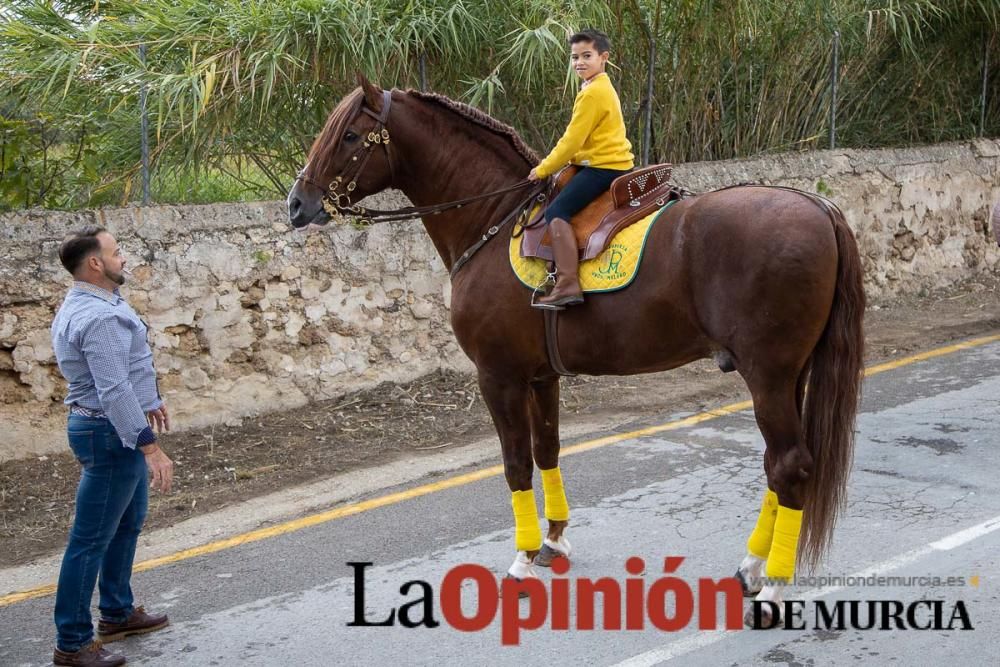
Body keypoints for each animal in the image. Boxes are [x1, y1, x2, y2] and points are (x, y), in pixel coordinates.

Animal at [290, 75, 868, 628]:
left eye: (348, 136)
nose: (297, 203)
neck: (495, 217)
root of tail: (817, 206)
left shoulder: (498, 376)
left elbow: (516, 463)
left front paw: (522, 559)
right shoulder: (541, 376)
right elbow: (547, 450)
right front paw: (553, 541)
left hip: (768, 376)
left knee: (789, 465)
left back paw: (772, 589)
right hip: (789, 375)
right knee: (777, 463)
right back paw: (751, 568)